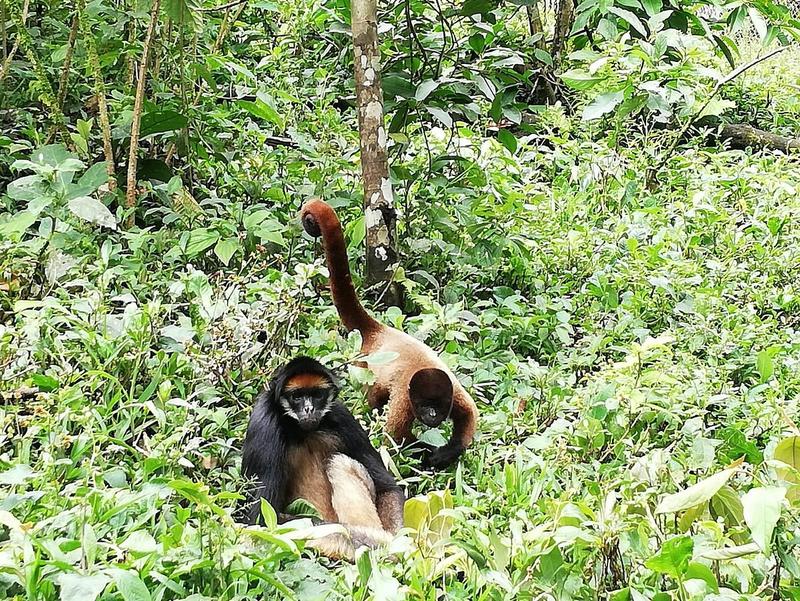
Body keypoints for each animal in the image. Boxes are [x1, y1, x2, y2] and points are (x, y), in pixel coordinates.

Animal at [239, 356, 405, 560]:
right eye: (297, 396)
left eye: (317, 395)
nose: (309, 408)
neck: (302, 432)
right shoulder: (263, 423)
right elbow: (260, 521)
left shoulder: (341, 415)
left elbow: (387, 489)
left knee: (340, 462)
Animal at [300, 199, 479, 469]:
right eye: (425, 405)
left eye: (437, 406)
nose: (432, 416)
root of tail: (377, 330)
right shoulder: (405, 401)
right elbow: (395, 439)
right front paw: (427, 454)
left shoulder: (453, 390)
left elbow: (469, 413)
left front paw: (447, 453)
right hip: (363, 367)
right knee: (373, 399)